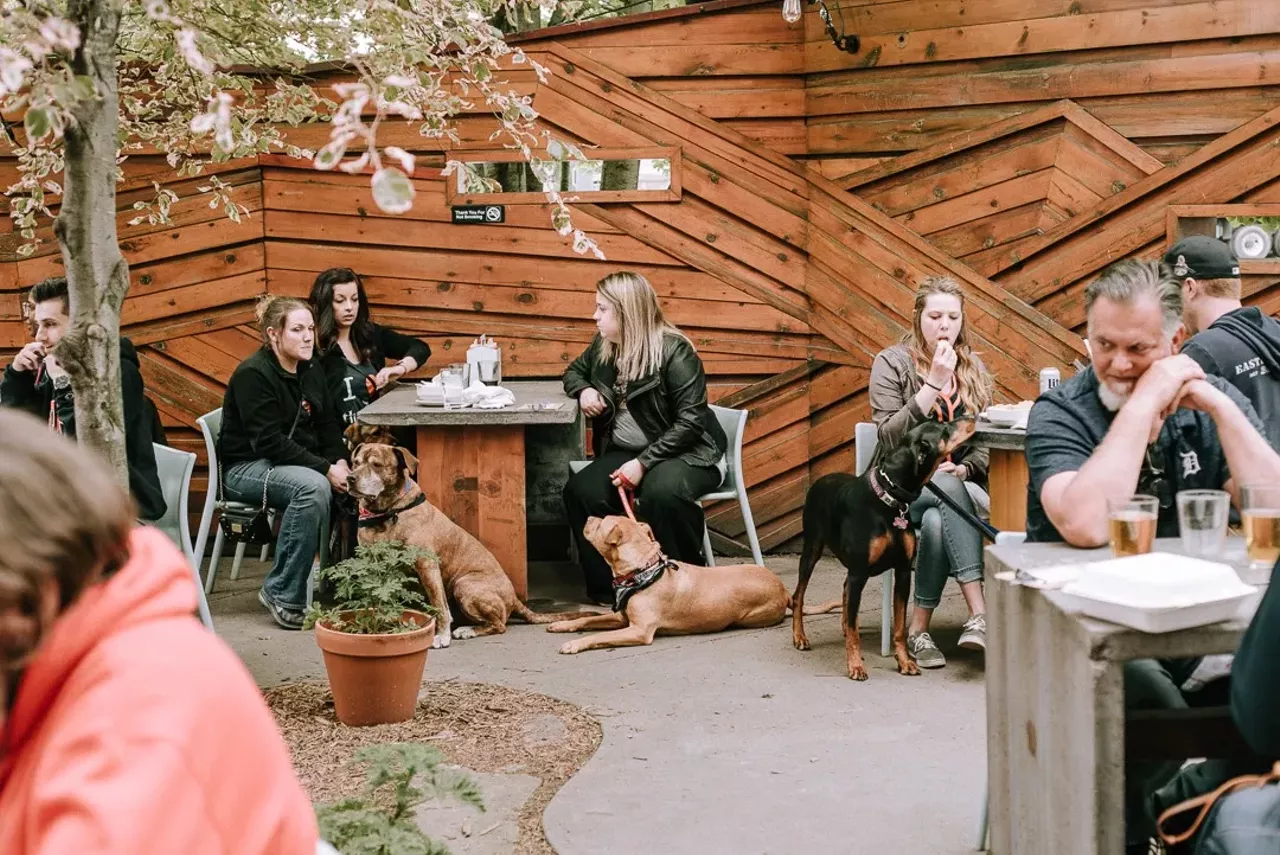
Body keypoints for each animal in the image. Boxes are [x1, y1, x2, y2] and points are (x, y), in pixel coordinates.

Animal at [345, 440, 593, 647]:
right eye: (355, 463)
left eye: (377, 465)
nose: (350, 478)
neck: (387, 512)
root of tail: (515, 598)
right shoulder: (371, 564)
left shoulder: (427, 565)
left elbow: (439, 605)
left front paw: (442, 636)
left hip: (464, 584)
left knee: (499, 624)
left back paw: (468, 630)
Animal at [547, 514, 803, 655]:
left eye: (602, 523)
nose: (589, 518)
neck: (643, 571)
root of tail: (784, 590)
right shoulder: (621, 618)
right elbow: (588, 619)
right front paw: (562, 625)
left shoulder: (639, 631)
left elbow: (597, 636)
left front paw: (574, 644)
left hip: (748, 617)